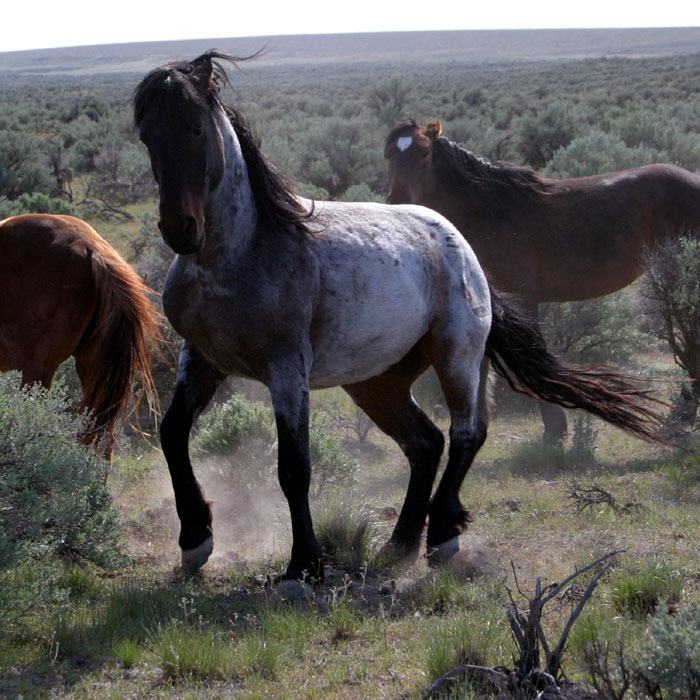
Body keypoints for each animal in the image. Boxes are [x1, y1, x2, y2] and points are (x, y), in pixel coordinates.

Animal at [131, 52, 660, 584]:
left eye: (197, 128)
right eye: (148, 135)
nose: (181, 228)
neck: (235, 257)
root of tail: (458, 241)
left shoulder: (287, 370)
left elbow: (294, 467)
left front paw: (304, 565)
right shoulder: (202, 360)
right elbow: (172, 435)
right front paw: (195, 540)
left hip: (457, 357)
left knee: (466, 433)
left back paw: (442, 534)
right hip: (376, 382)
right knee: (425, 443)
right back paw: (401, 542)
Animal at [386, 120, 700, 438]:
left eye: (424, 154)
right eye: (388, 156)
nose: (397, 203)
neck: (487, 212)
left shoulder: (523, 299)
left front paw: (555, 428)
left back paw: (680, 418)